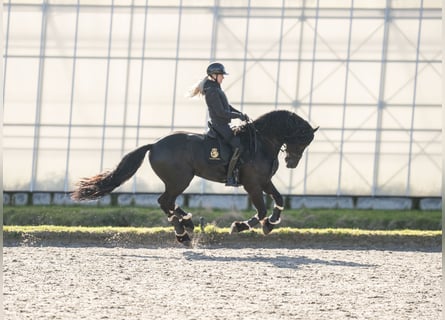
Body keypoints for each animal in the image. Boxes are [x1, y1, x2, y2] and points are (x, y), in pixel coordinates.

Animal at [72, 110, 316, 245]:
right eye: (301, 139)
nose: (291, 163)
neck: (261, 143)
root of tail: (155, 144)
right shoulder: (252, 184)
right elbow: (262, 209)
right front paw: (239, 226)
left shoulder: (264, 181)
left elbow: (279, 200)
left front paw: (271, 224)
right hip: (180, 180)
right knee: (165, 201)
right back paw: (182, 233)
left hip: (177, 181)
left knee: (168, 203)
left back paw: (187, 223)